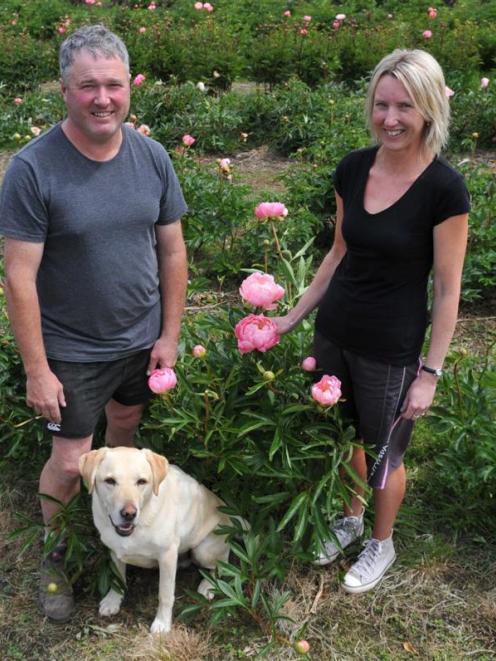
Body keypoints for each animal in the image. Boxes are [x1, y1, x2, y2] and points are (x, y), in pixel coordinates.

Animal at [79, 446, 232, 632]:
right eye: (110, 481)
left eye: (141, 481)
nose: (129, 514)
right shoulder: (115, 551)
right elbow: (117, 579)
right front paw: (113, 600)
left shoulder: (167, 555)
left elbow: (165, 594)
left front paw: (162, 623)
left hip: (204, 550)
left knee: (222, 565)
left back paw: (209, 585)